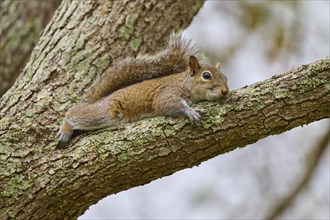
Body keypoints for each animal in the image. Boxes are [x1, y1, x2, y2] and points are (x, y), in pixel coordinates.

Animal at [56, 32, 228, 143]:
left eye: (226, 78)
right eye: (206, 75)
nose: (225, 91)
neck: (184, 82)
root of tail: (100, 100)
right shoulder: (167, 91)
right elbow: (165, 103)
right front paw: (190, 111)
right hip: (104, 113)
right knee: (74, 114)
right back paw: (65, 128)